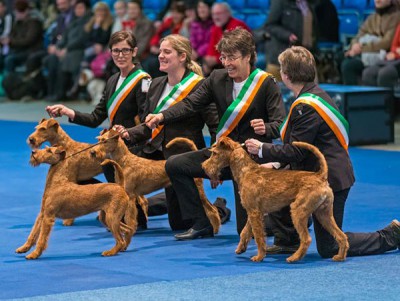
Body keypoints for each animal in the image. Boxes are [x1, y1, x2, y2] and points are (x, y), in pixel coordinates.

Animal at [202, 137, 348, 262]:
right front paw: (240, 249)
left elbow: (259, 237)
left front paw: (259, 256)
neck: (246, 171)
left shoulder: (255, 213)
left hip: (298, 211)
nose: (204, 167)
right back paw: (339, 256)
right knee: (341, 235)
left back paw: (294, 258)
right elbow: (245, 232)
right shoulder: (253, 211)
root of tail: (321, 176)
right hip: (323, 213)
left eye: (214, 153)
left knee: (306, 239)